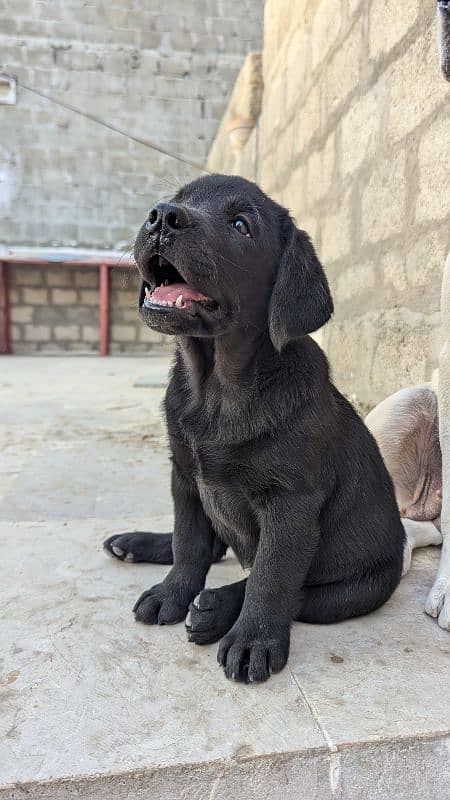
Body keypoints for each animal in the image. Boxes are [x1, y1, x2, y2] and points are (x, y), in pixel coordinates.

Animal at [104, 173, 404, 680]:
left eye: (242, 225)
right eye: (181, 199)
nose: (162, 216)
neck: (216, 390)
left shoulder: (291, 503)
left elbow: (272, 575)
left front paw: (252, 640)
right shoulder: (185, 477)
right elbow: (188, 543)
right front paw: (172, 592)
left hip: (361, 586)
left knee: (299, 592)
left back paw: (216, 610)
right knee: (211, 547)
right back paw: (139, 545)